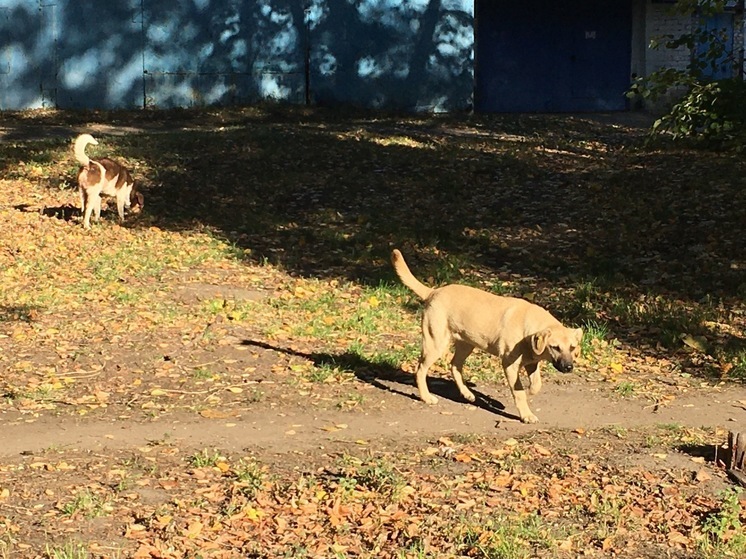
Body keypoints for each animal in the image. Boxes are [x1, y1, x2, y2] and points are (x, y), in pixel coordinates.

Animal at [390, 249, 580, 424]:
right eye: (555, 347)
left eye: (572, 347)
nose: (569, 367)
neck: (528, 329)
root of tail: (433, 292)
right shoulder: (510, 365)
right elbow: (519, 392)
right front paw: (526, 415)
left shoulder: (532, 362)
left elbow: (537, 383)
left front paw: (532, 391)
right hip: (436, 343)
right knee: (421, 369)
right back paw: (426, 397)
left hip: (467, 344)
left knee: (454, 365)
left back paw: (467, 394)